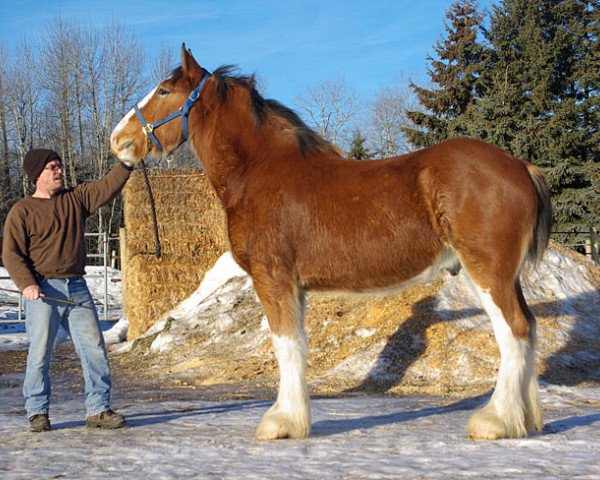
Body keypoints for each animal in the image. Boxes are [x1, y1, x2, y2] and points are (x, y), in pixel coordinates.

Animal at [109, 45, 552, 442]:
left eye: (164, 91)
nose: (119, 139)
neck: (259, 172)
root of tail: (521, 166)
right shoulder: (294, 287)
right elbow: (296, 347)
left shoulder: (273, 279)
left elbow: (285, 346)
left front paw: (282, 423)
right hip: (502, 276)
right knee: (528, 328)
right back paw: (527, 420)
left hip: (488, 272)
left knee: (513, 331)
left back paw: (496, 421)